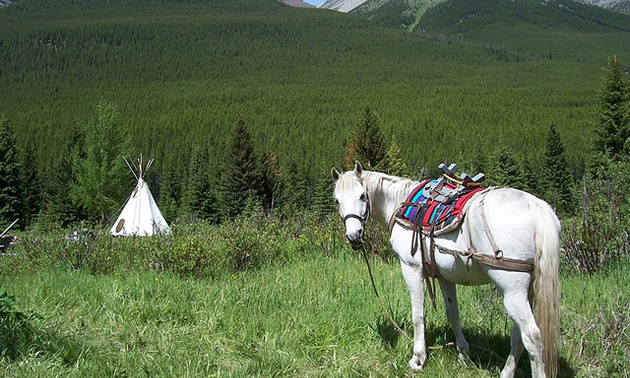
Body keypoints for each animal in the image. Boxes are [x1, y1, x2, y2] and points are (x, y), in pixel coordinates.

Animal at [334, 161, 560, 376]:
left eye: (363, 195)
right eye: (337, 200)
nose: (354, 236)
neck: (400, 204)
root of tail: (535, 206)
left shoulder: (411, 268)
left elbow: (418, 314)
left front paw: (418, 359)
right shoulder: (444, 275)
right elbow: (453, 313)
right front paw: (463, 353)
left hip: (512, 289)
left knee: (532, 336)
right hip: (528, 290)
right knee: (518, 335)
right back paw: (506, 372)